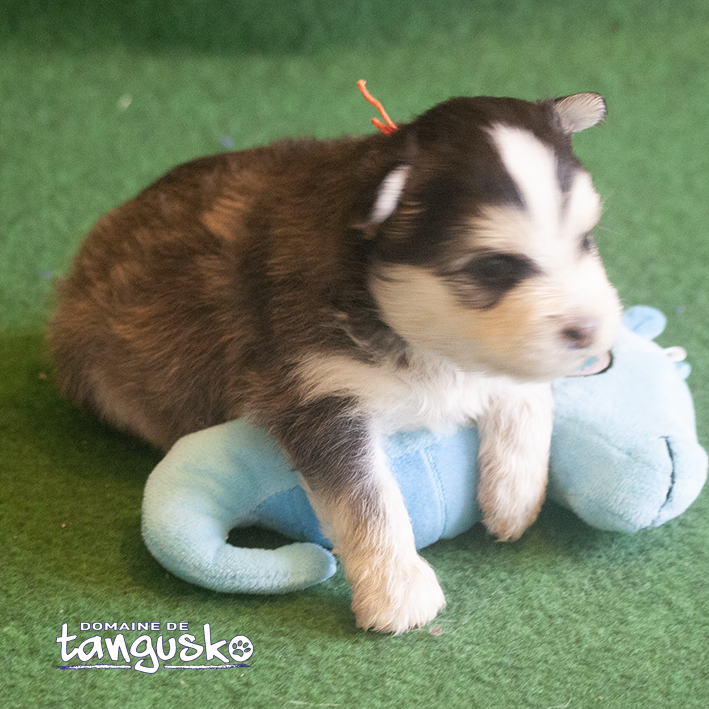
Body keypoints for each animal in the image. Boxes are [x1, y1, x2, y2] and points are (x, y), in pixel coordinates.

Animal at [48, 92, 620, 632]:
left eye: (585, 239)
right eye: (494, 267)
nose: (594, 334)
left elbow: (526, 387)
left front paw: (515, 495)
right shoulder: (318, 394)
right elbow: (368, 498)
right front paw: (398, 591)